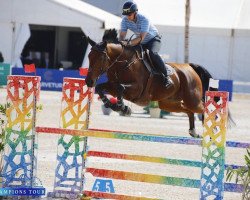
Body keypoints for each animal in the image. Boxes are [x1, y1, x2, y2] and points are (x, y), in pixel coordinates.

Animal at [85, 35, 214, 138]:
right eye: (89, 56)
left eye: (101, 58)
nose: (89, 81)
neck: (123, 63)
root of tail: (190, 67)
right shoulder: (112, 86)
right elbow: (101, 88)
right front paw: (113, 105)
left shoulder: (137, 90)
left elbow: (121, 87)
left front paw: (123, 108)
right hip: (169, 103)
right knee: (189, 111)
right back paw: (194, 132)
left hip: (192, 100)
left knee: (205, 110)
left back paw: (212, 134)